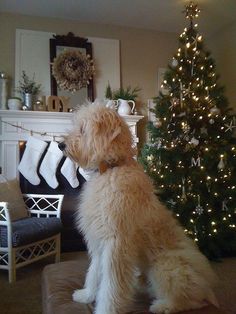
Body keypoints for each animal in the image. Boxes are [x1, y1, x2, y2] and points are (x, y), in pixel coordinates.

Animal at [58, 103, 218, 314]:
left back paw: (163, 305)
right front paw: (87, 295)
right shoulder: (100, 242)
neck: (111, 169)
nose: (61, 145)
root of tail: (208, 287)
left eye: (83, 129)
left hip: (165, 266)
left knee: (191, 300)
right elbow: (94, 272)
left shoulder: (116, 245)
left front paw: (106, 309)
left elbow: (111, 285)